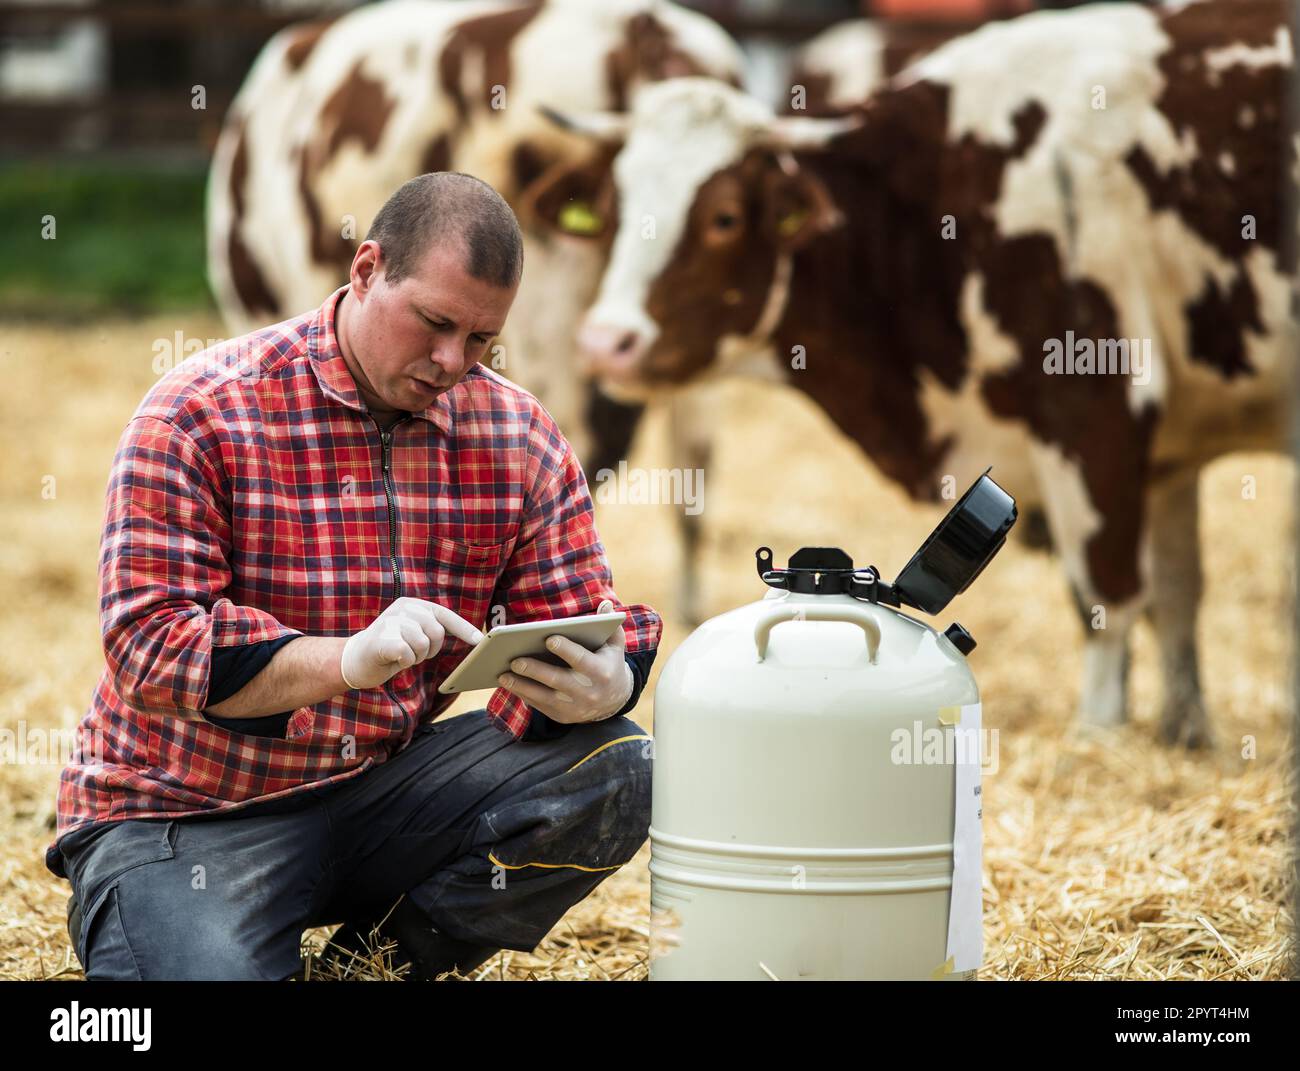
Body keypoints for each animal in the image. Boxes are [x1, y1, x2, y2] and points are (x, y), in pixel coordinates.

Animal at [535, 0, 1289, 748]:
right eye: (615, 212)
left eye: (722, 217)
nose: (605, 342)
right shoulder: (1167, 454)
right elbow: (1179, 593)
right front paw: (1186, 730)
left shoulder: (1095, 410)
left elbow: (1108, 599)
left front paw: (1097, 736)